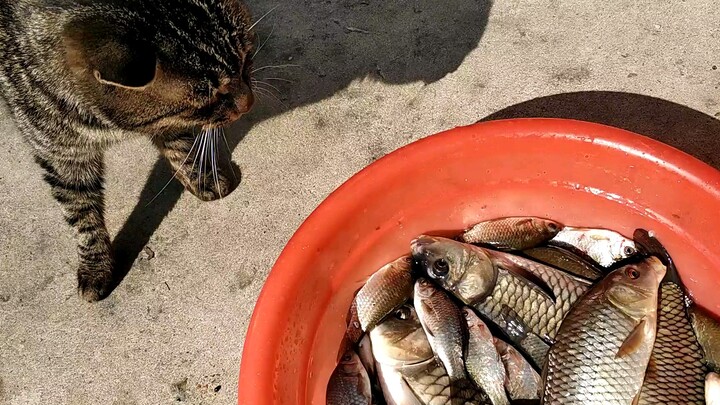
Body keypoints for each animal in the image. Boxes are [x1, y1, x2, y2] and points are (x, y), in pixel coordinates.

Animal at [0, 0, 258, 300]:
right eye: (209, 99)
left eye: (245, 59)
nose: (249, 103)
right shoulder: (61, 152)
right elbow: (80, 212)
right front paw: (95, 263)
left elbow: (178, 143)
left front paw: (199, 176)